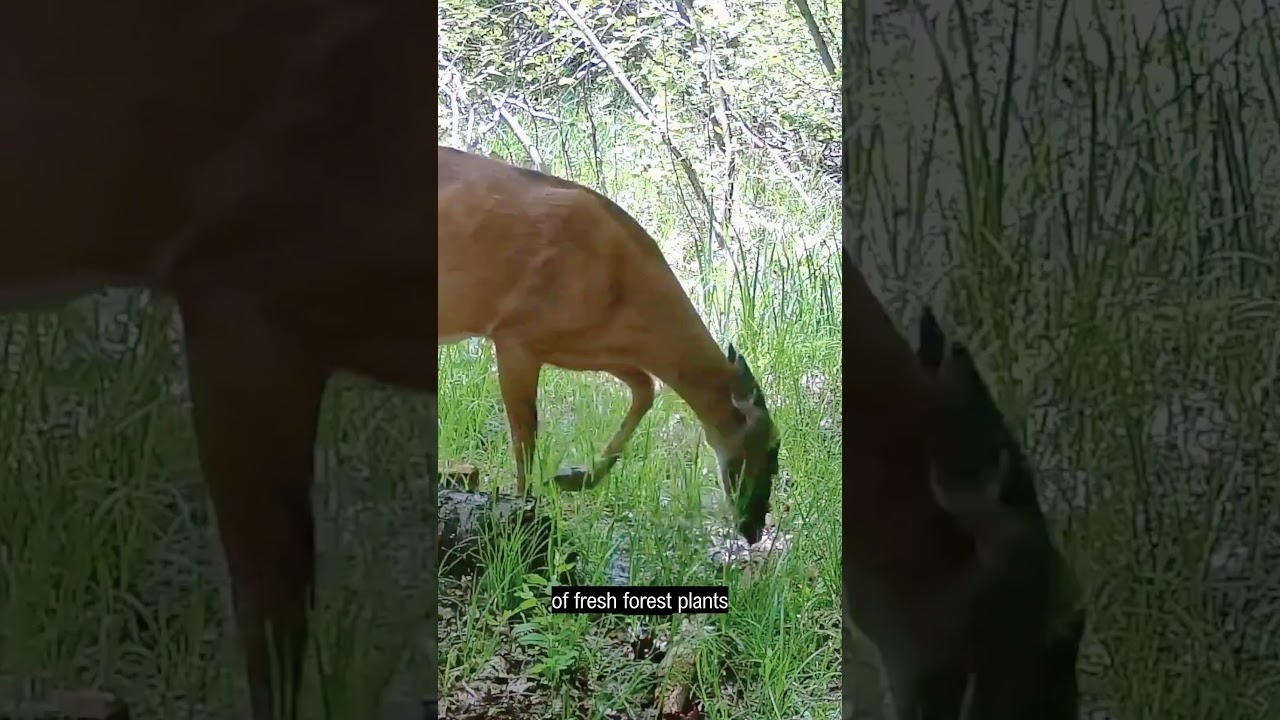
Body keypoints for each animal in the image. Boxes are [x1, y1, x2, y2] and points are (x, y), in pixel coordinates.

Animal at [437, 146, 781, 545]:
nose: (755, 528)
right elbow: (525, 436)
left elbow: (645, 388)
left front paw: (573, 479)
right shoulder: (515, 333)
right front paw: (523, 517)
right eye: (772, 447)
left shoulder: (582, 343)